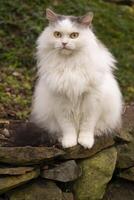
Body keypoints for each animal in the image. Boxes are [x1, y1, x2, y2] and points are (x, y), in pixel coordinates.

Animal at [30, 8, 122, 148]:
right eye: (57, 34)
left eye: (74, 35)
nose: (64, 43)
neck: (69, 65)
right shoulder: (60, 102)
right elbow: (67, 127)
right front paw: (69, 142)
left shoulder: (92, 101)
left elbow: (87, 126)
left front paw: (86, 142)